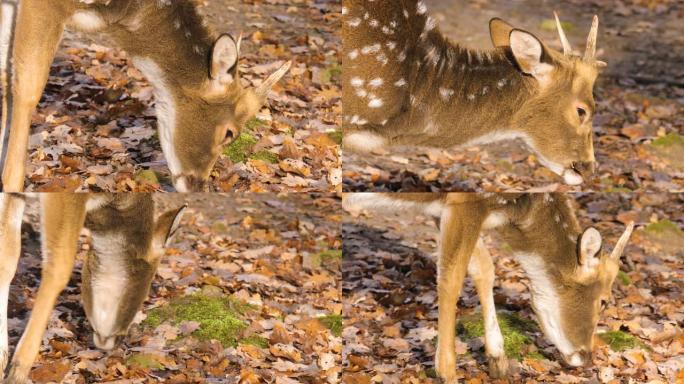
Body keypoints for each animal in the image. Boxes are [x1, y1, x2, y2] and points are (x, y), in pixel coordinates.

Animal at [0, 194, 184, 382]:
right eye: (144, 292)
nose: (119, 340)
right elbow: (59, 266)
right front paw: (17, 371)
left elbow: (8, 251)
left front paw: (3, 362)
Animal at [344, 194, 640, 382]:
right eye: (604, 300)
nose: (586, 358)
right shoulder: (462, 202)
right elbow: (451, 277)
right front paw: (447, 371)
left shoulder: (444, 210)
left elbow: (484, 268)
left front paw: (498, 360)